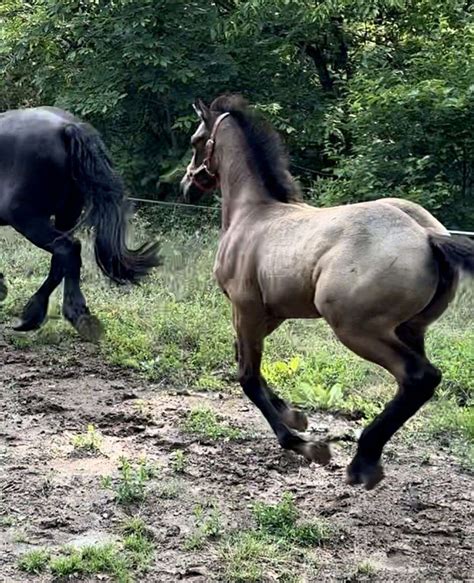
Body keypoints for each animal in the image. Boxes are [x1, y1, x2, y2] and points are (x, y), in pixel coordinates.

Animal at [0, 107, 160, 340]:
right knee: (63, 257)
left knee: (68, 248)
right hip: (67, 214)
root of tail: (67, 127)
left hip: (27, 218)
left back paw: (66, 313)